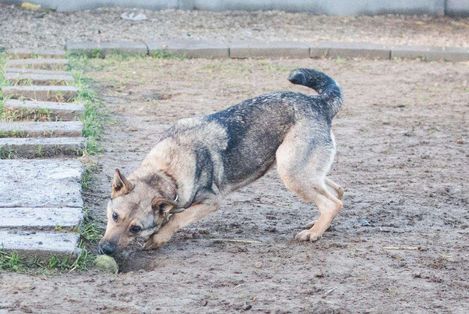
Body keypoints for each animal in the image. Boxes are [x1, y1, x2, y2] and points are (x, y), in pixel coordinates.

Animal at [98, 67, 344, 255]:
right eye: (114, 216)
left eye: (135, 228)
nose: (105, 250)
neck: (165, 172)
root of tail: (319, 103)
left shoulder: (211, 202)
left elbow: (178, 218)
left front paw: (159, 238)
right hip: (302, 170)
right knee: (337, 191)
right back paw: (318, 223)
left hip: (290, 172)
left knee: (332, 203)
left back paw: (313, 233)